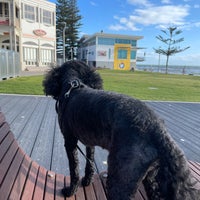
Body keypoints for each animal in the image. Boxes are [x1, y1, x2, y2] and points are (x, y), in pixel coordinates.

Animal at [43, 61, 199, 200]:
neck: (73, 86)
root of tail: (159, 132)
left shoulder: (69, 141)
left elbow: (74, 168)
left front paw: (70, 191)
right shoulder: (90, 142)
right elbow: (90, 162)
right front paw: (87, 181)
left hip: (121, 177)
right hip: (152, 177)